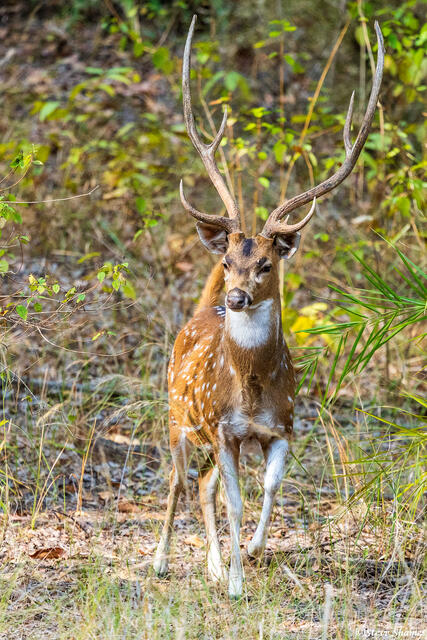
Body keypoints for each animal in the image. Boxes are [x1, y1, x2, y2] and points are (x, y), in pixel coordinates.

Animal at [154, 15, 384, 599]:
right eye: (229, 259)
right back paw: (163, 561)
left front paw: (253, 554)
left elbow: (272, 489)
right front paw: (238, 584)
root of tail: (199, 312)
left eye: (264, 263)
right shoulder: (225, 429)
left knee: (203, 484)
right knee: (178, 480)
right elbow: (235, 501)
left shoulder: (283, 427)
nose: (234, 296)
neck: (253, 390)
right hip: (177, 413)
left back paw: (212, 566)